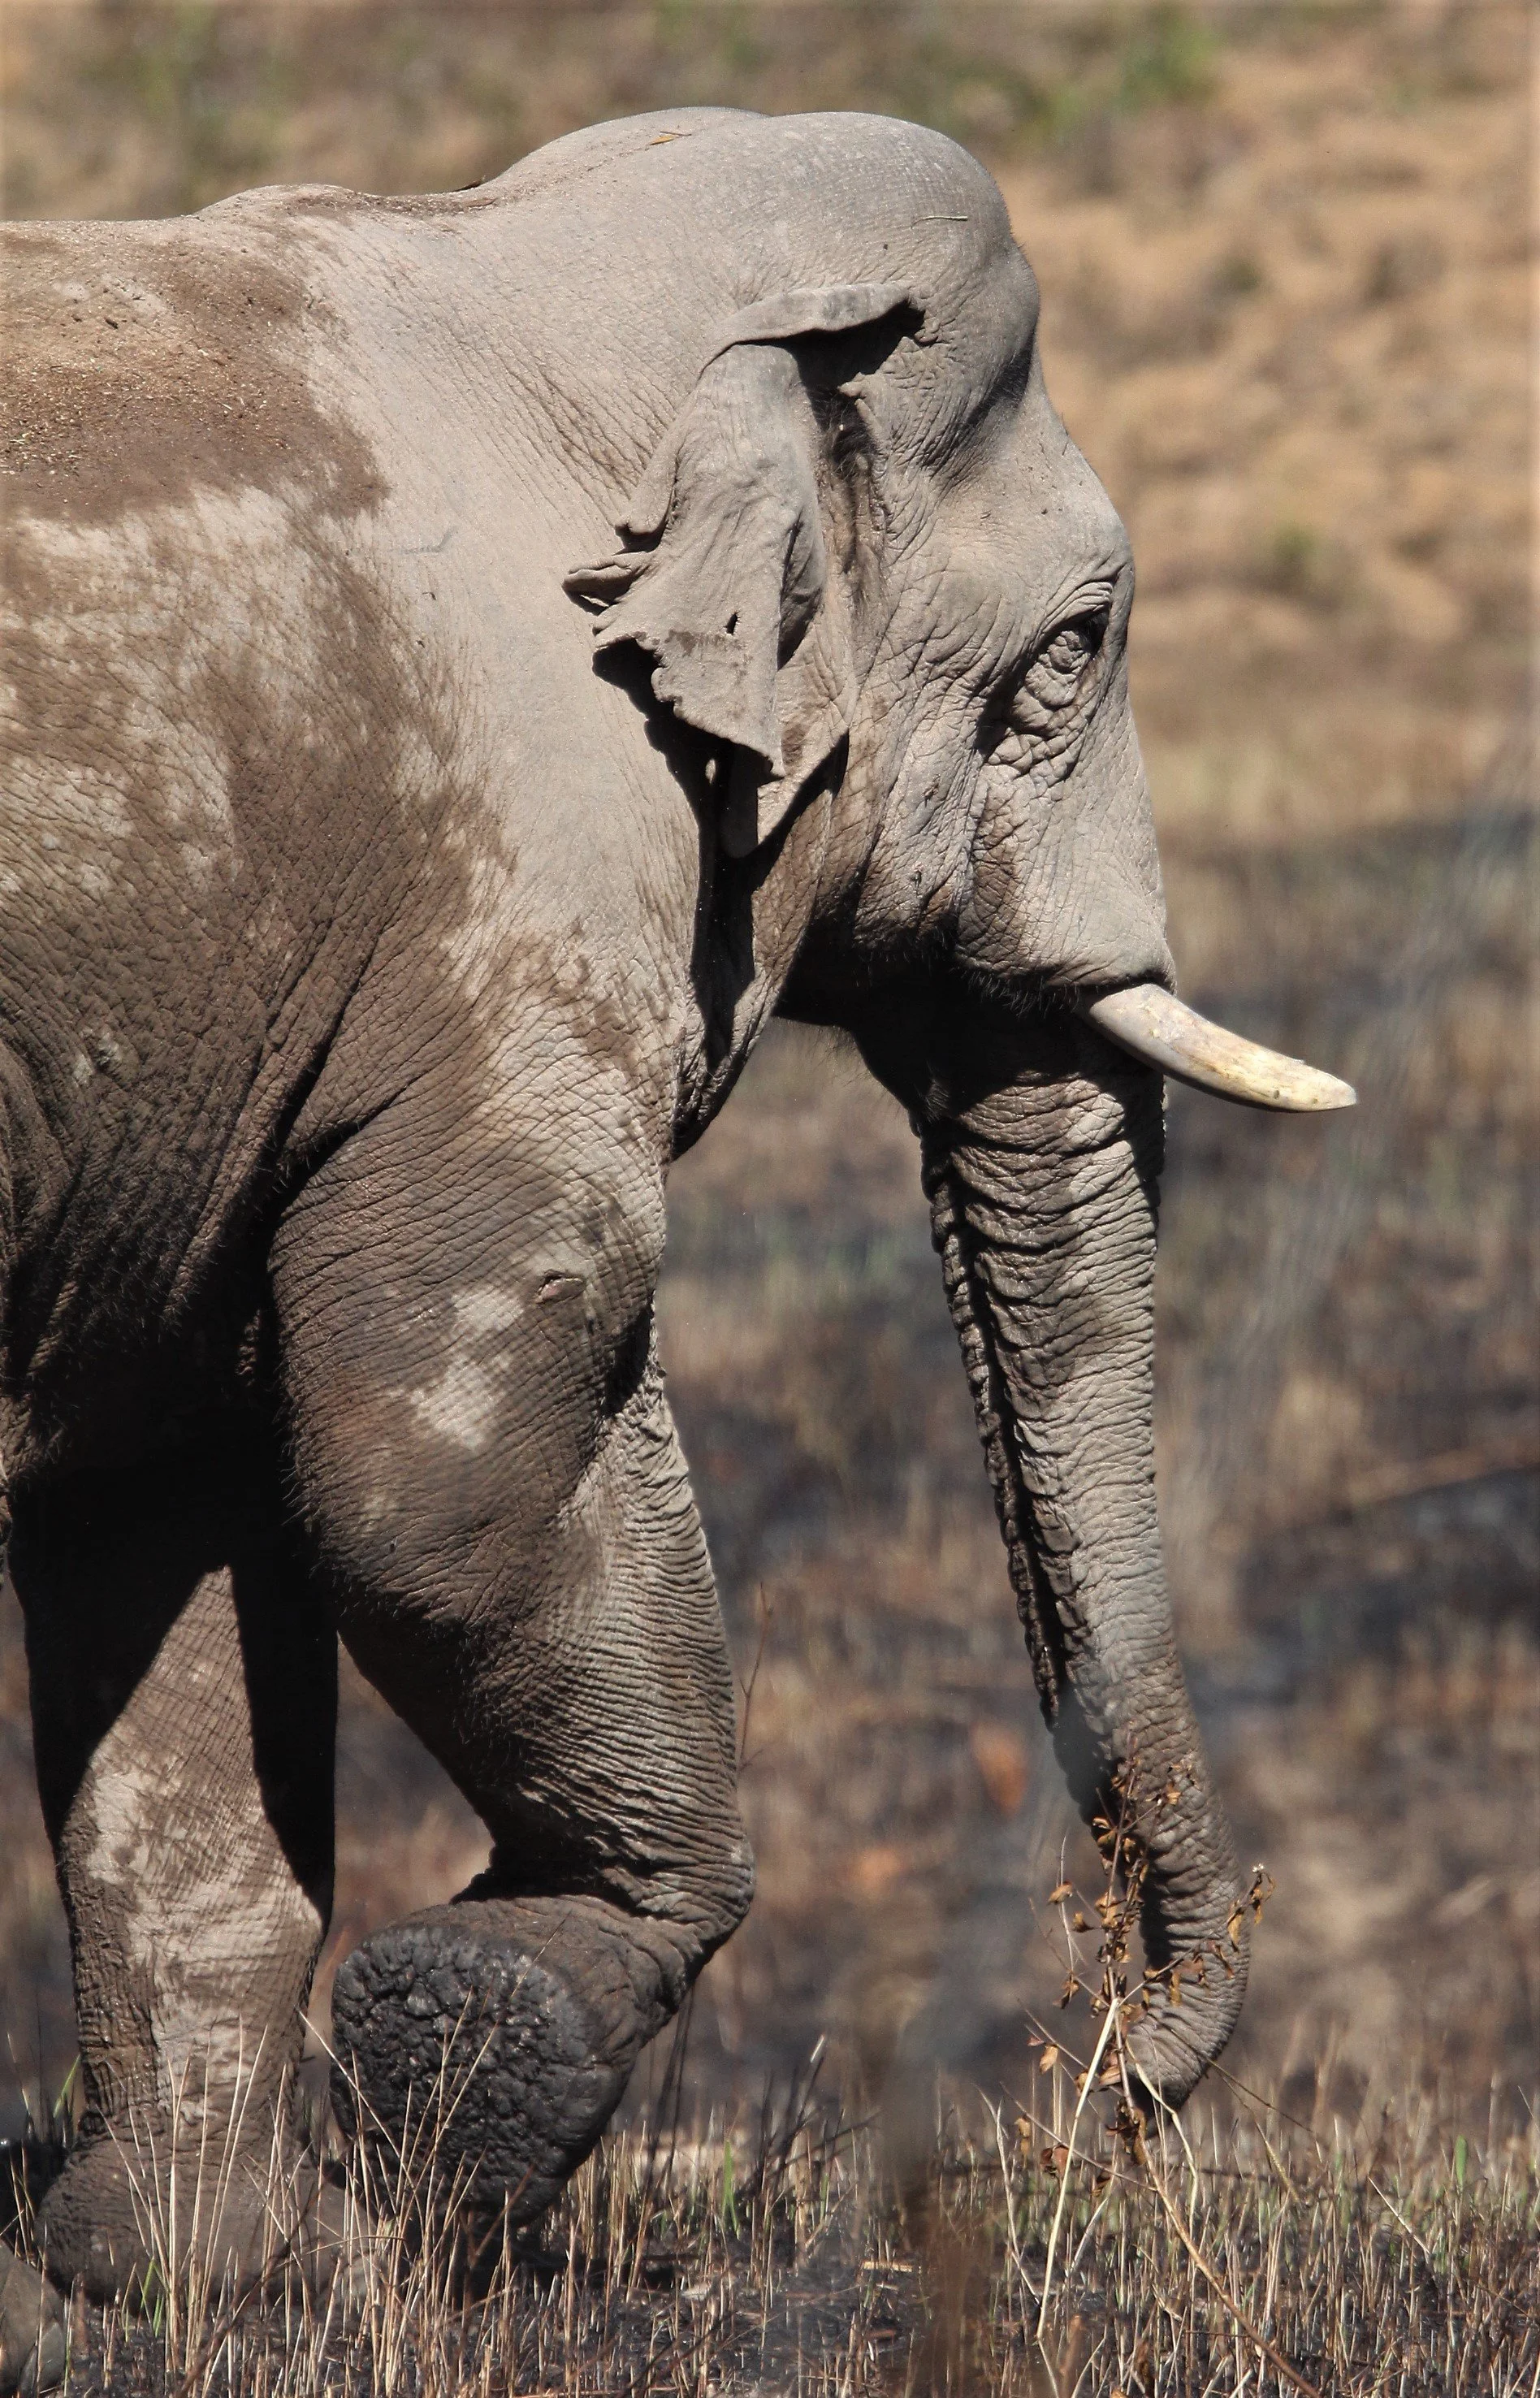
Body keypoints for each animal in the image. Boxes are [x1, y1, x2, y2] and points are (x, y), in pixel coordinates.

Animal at [0, 105, 1352, 2382]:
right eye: (1076, 648)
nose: (1105, 2096)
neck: (522, 255)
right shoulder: (521, 889)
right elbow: (438, 1457)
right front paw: (456, 2059)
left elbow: (161, 1505)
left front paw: (194, 2285)